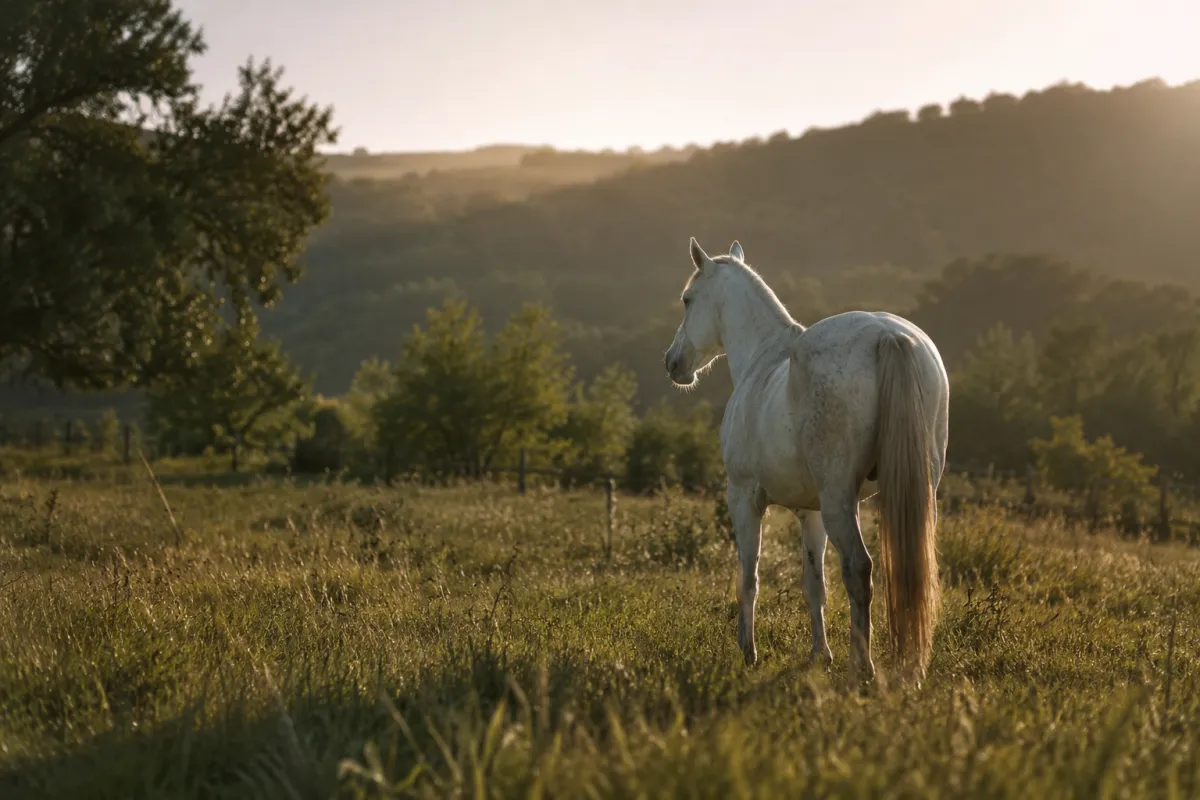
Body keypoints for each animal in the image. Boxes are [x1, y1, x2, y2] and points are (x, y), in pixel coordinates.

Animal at [663, 237, 949, 684]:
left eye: (687, 299)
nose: (673, 363)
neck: (764, 361)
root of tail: (888, 336)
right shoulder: (809, 512)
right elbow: (814, 583)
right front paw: (820, 654)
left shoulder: (743, 498)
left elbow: (749, 576)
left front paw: (748, 651)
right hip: (914, 496)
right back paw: (908, 669)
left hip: (839, 501)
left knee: (859, 569)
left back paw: (862, 668)